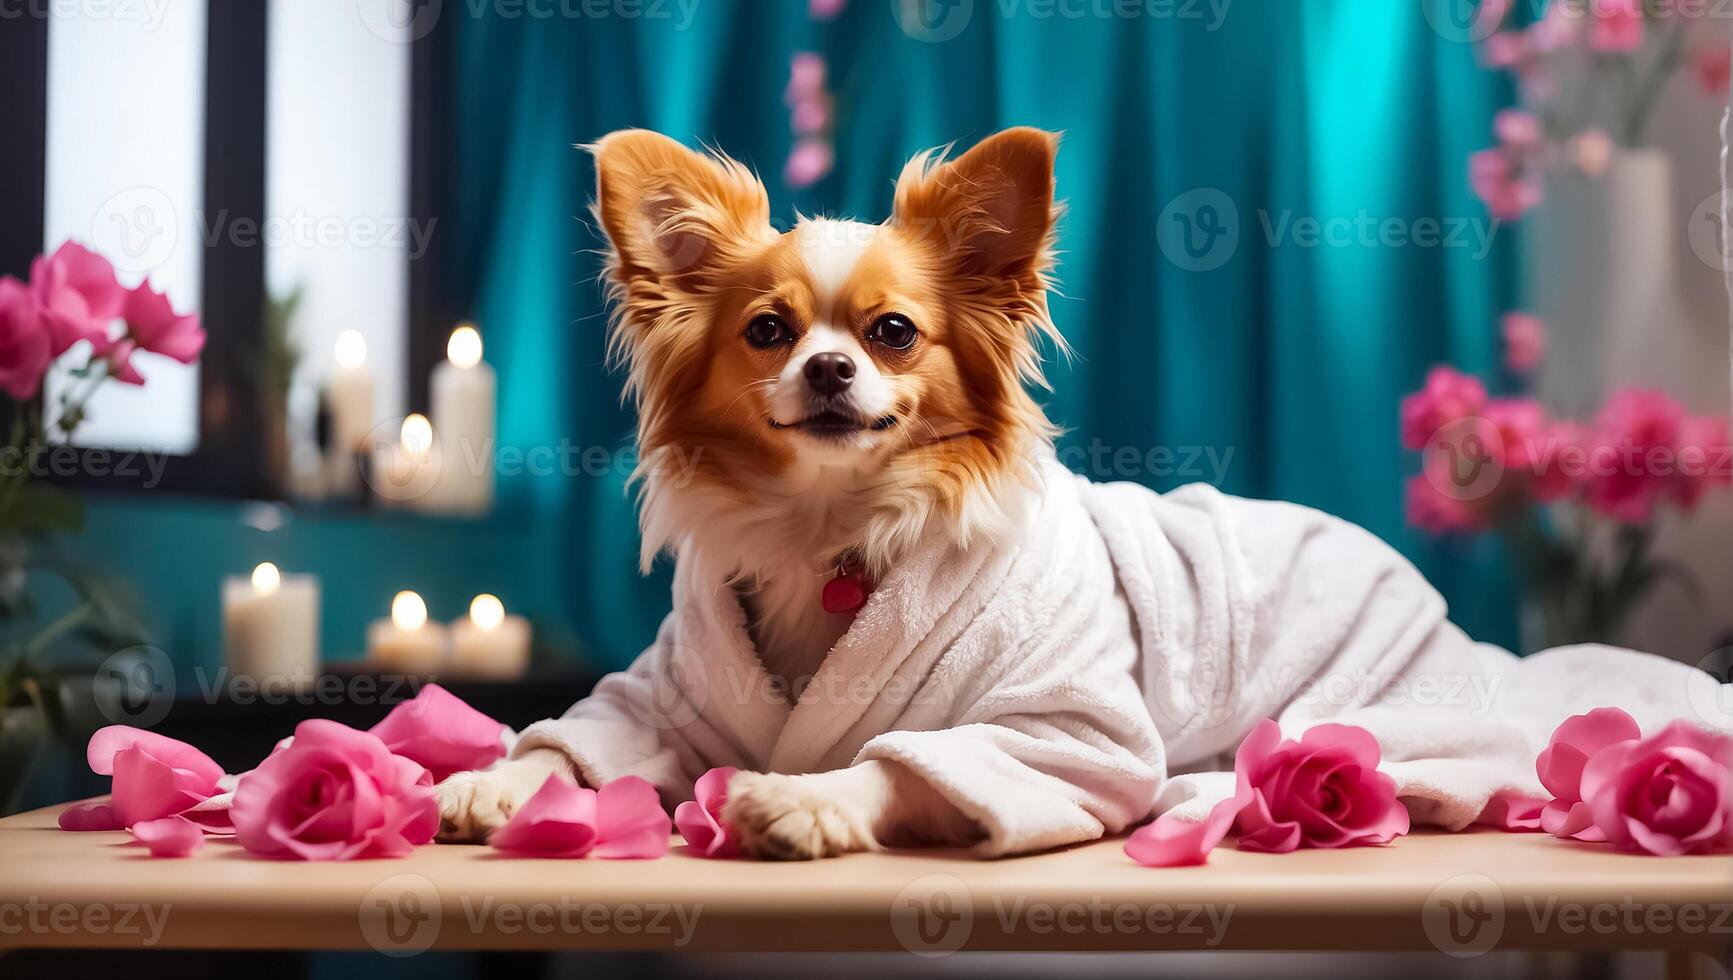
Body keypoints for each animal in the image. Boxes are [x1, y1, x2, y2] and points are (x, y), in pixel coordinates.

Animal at [436, 125, 1067, 853]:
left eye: (893, 330)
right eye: (767, 329)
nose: (828, 365)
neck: (821, 522)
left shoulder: (1037, 737)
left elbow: (903, 763)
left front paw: (805, 799)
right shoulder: (652, 708)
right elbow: (561, 746)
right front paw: (492, 782)